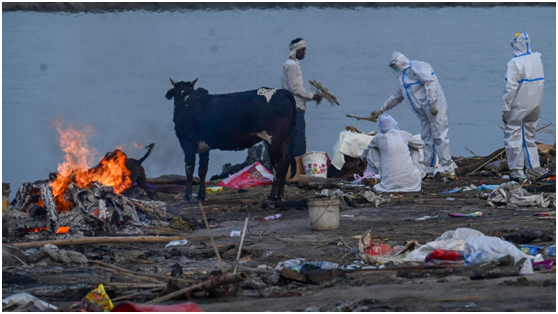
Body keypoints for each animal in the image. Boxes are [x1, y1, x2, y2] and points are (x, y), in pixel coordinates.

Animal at [165, 78, 298, 201]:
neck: (187, 100)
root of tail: (280, 91)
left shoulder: (188, 143)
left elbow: (189, 169)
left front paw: (186, 197)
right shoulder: (204, 147)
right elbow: (202, 170)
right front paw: (200, 196)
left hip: (273, 140)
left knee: (278, 165)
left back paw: (272, 196)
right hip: (285, 140)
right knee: (285, 163)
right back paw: (279, 196)